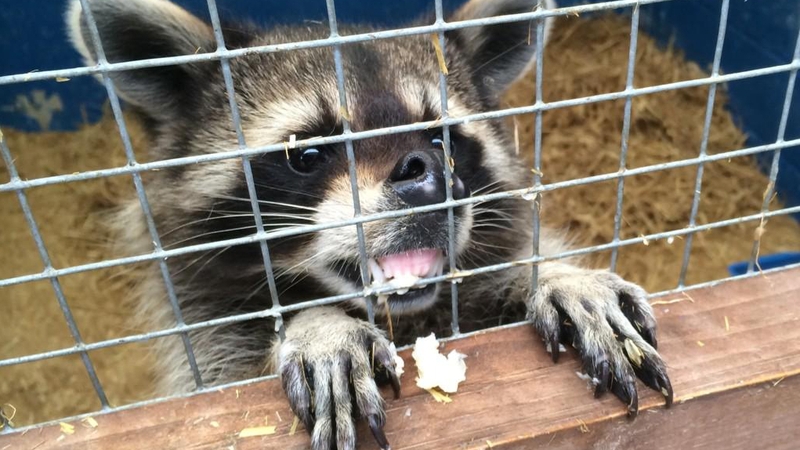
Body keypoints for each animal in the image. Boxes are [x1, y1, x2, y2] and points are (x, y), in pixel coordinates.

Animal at [67, 0, 672, 448]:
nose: (428, 177)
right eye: (307, 153)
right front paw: (317, 324)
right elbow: (228, 381)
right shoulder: (206, 341)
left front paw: (556, 276)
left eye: (442, 139)